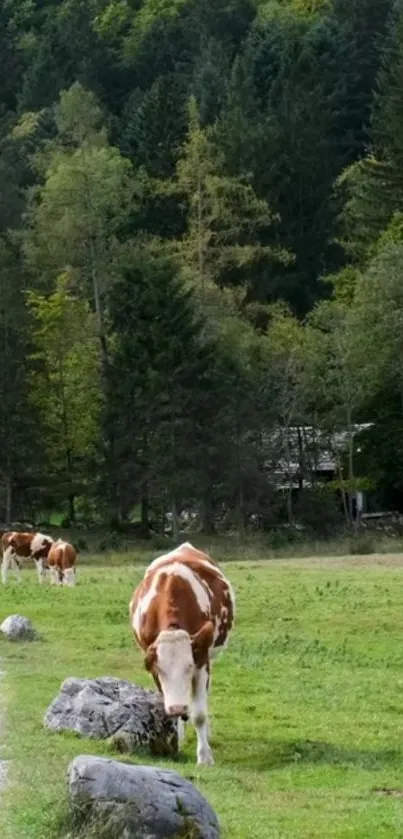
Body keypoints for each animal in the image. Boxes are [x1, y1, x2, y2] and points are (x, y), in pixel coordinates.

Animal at [129, 540, 237, 764]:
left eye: (189, 667)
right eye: (160, 671)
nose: (178, 707)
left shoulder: (202, 660)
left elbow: (199, 714)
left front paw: (204, 757)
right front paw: (176, 742)